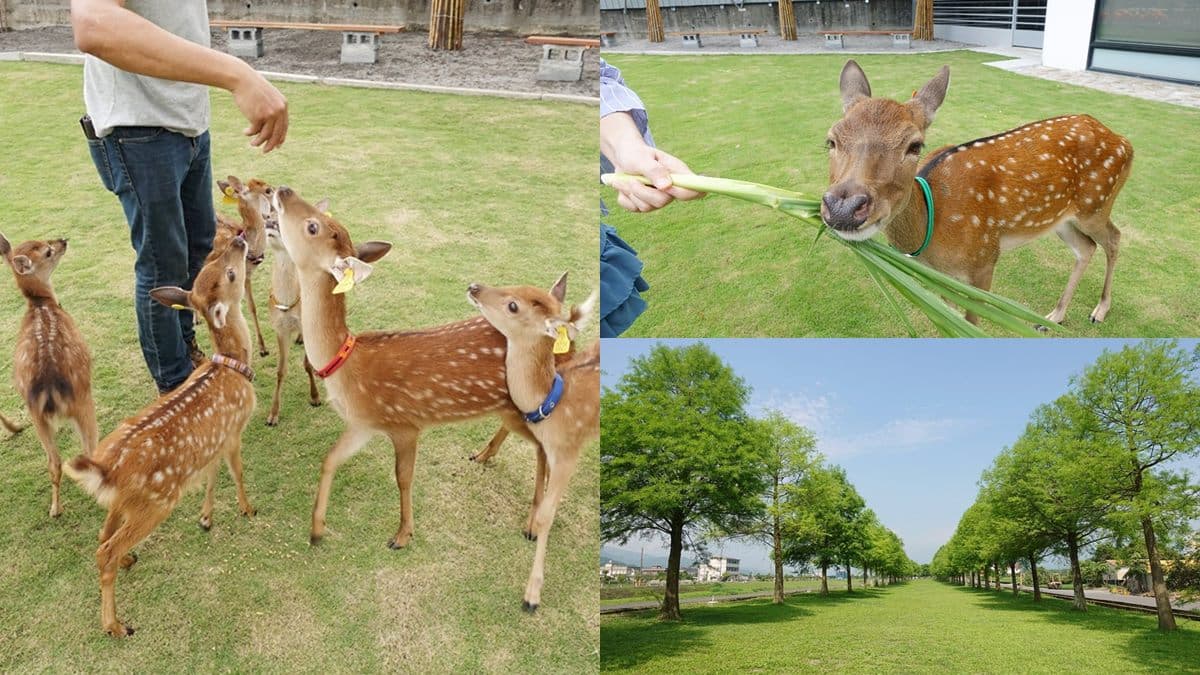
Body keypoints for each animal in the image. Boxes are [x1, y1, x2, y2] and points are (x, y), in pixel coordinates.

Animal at [0, 234, 99, 517]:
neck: (42, 304)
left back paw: (55, 509)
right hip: (83, 401)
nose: (63, 240)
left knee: (54, 461)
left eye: (41, 242)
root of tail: (49, 389)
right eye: (47, 252)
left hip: (36, 415)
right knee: (89, 450)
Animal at [63, 236, 258, 637]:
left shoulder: (214, 442)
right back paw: (115, 624)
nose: (238, 239)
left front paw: (206, 518)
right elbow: (237, 473)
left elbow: (212, 475)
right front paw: (248, 509)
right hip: (156, 501)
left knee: (102, 536)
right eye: (230, 274)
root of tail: (108, 468)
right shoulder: (234, 429)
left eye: (212, 265)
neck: (234, 365)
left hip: (125, 500)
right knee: (106, 550)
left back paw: (127, 562)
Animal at [271, 185, 550, 566]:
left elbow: (403, 478)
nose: (283, 190)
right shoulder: (362, 424)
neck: (348, 367)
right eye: (325, 219)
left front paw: (402, 535)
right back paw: (482, 455)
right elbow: (329, 460)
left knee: (547, 450)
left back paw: (532, 524)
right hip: (508, 408)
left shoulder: (404, 423)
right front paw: (316, 530)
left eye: (314, 225)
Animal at [467, 277, 599, 611]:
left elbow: (547, 514)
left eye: (513, 306)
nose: (474, 287)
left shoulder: (569, 451)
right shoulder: (548, 445)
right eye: (516, 285)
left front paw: (532, 596)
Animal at [822, 60, 1133, 326]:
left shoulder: (986, 258)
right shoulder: (941, 274)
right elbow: (948, 313)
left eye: (915, 145)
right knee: (1086, 247)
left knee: (1114, 237)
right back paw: (1054, 316)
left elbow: (971, 320)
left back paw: (1099, 310)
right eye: (831, 140)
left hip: (1096, 204)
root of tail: (1125, 142)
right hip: (1060, 218)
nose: (843, 207)